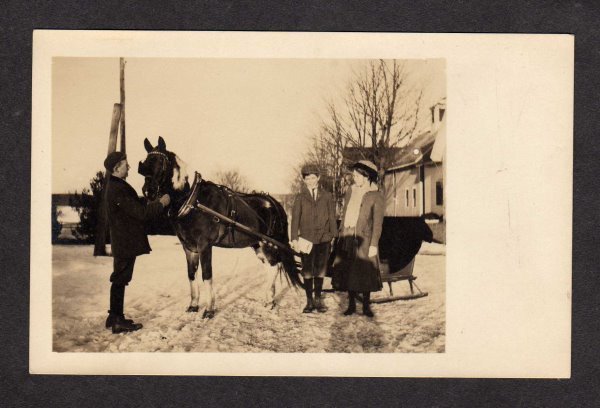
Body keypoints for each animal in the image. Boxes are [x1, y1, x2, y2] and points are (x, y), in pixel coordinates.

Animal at [138, 135, 302, 318]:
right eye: (146, 163)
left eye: (161, 162)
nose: (148, 191)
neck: (193, 202)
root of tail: (273, 202)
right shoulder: (188, 247)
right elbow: (191, 274)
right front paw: (193, 305)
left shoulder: (204, 245)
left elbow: (206, 275)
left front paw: (209, 309)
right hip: (258, 244)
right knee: (270, 267)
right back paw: (270, 300)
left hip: (268, 244)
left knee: (274, 267)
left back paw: (267, 298)